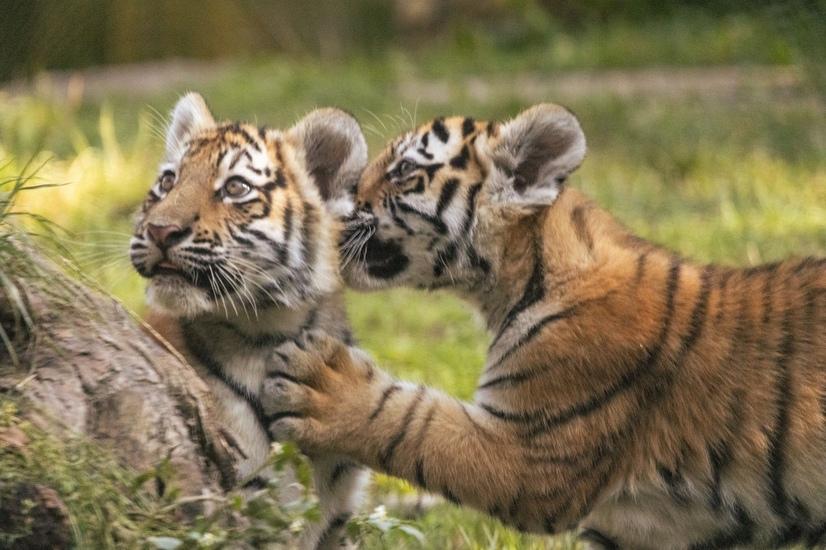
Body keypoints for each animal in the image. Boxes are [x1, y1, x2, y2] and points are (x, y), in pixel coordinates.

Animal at [262, 104, 826, 548]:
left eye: (402, 170)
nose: (332, 199)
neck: (517, 280)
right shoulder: (644, 529)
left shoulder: (530, 454)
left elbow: (415, 423)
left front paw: (323, 387)